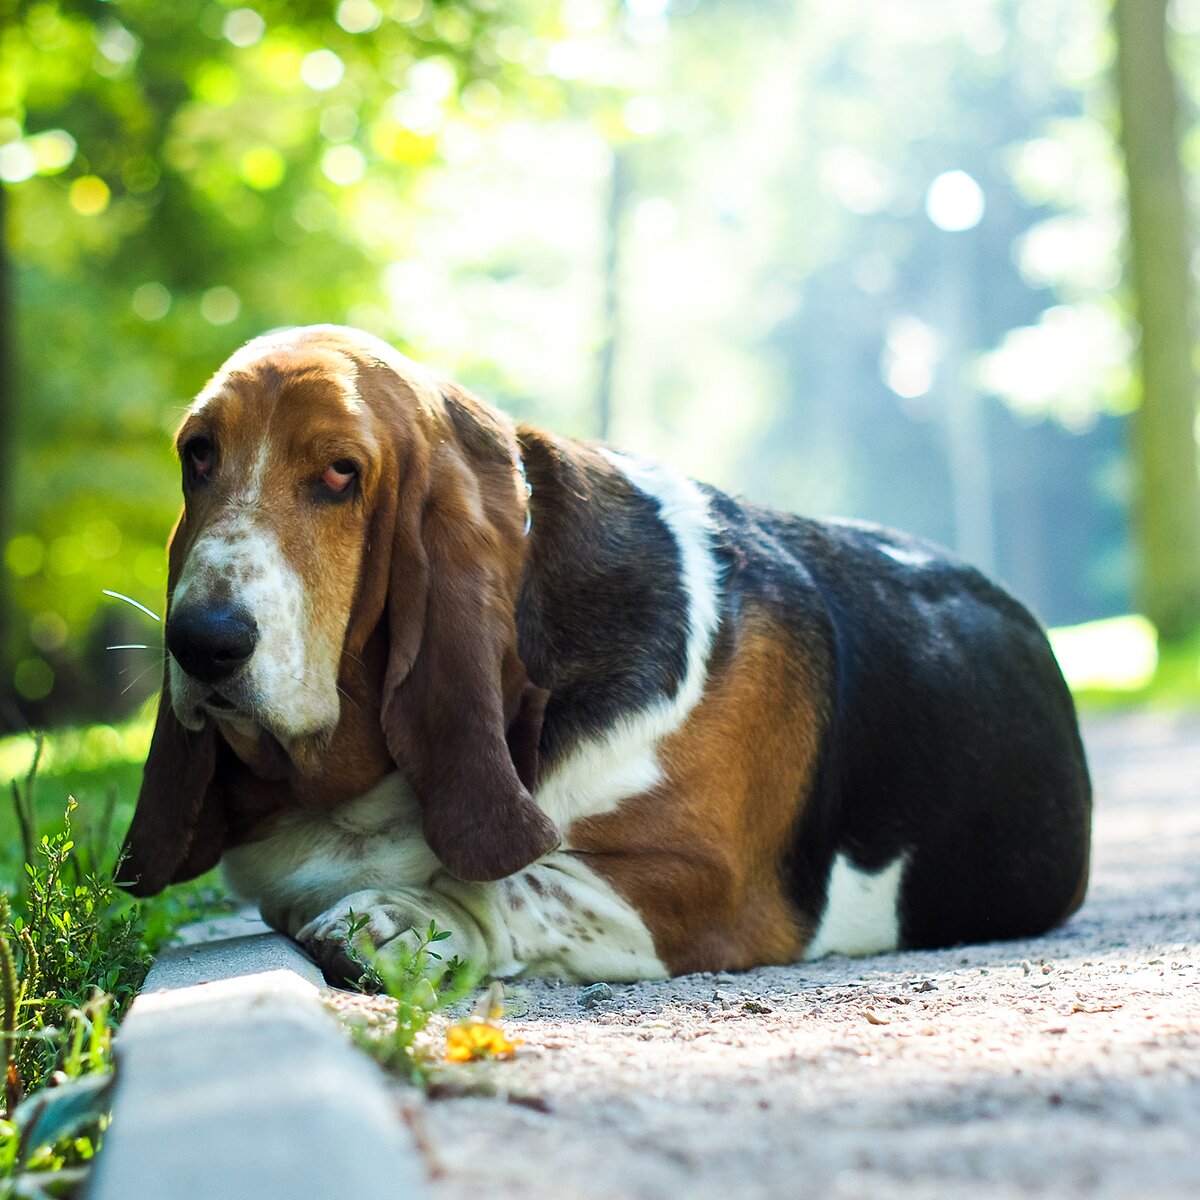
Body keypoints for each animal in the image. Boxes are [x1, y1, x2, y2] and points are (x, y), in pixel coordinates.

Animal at [117, 324, 1094, 979]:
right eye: (198, 456)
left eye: (340, 473)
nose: (201, 641)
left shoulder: (706, 887)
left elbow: (522, 882)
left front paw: (399, 918)